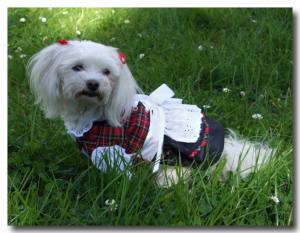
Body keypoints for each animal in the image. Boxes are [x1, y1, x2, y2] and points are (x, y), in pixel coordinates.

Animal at [27, 40, 276, 186]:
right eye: (77, 67)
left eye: (106, 72)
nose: (93, 84)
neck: (91, 114)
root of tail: (222, 152)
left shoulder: (111, 152)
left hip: (173, 165)